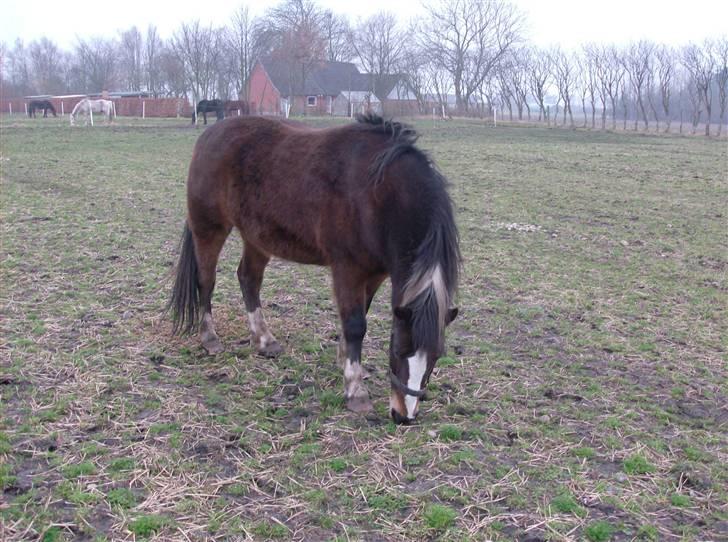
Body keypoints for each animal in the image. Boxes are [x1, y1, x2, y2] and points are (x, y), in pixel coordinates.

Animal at [168, 113, 460, 424]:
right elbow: (356, 325)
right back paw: (209, 338)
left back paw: (264, 340)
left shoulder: (376, 274)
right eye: (397, 348)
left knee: (248, 279)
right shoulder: (348, 269)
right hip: (209, 228)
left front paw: (347, 364)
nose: (403, 415)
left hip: (256, 237)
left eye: (437, 356)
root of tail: (210, 133)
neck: (378, 194)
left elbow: (360, 314)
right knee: (206, 281)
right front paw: (355, 390)